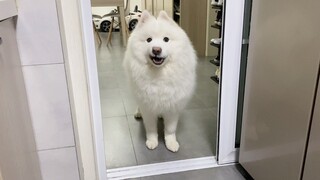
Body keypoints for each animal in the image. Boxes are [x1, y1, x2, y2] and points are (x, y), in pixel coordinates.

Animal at [123, 10, 196, 152]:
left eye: (166, 39)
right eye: (149, 40)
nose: (156, 49)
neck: (159, 74)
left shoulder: (173, 106)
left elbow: (170, 129)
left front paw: (171, 143)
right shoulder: (148, 106)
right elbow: (151, 128)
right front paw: (152, 141)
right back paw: (138, 113)